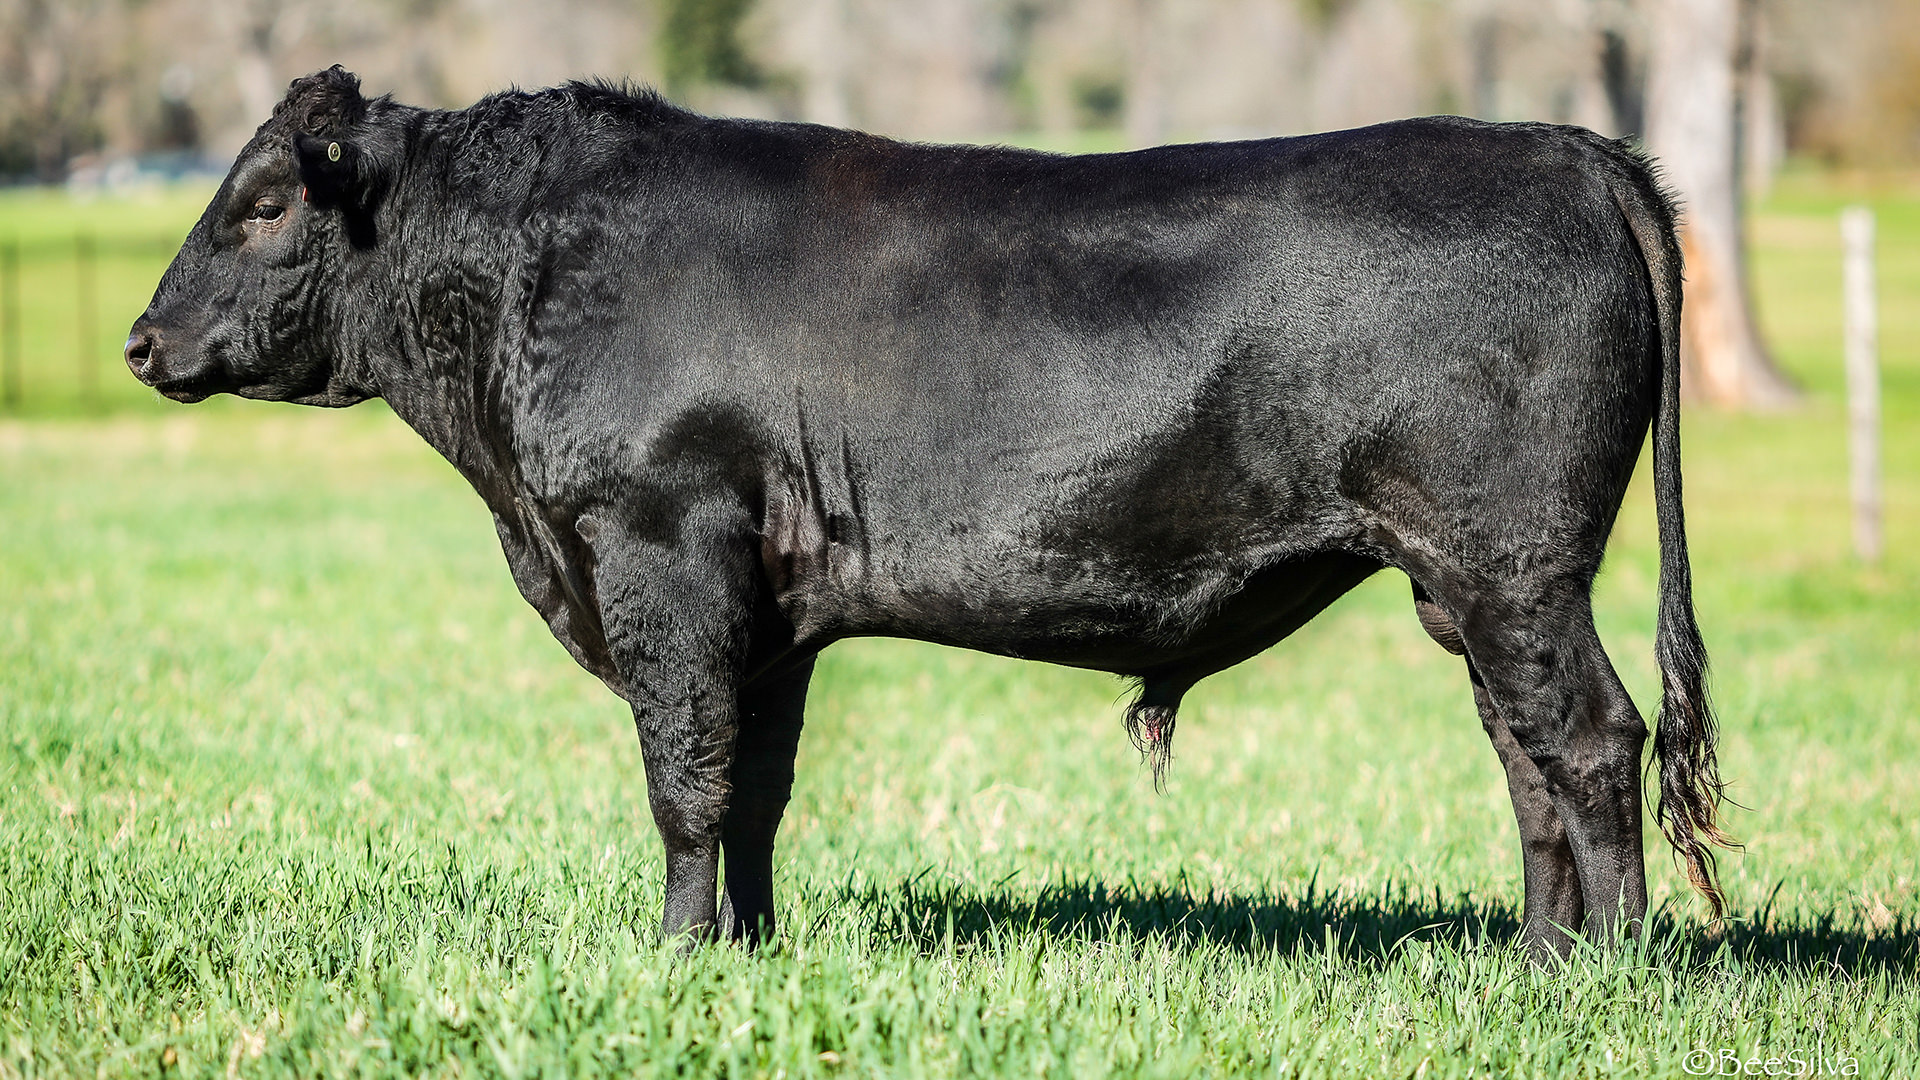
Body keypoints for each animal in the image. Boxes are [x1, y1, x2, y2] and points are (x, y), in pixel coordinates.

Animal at [127, 67, 1730, 960]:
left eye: (262, 205)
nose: (143, 343)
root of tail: (1558, 145)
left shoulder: (663, 552)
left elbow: (682, 779)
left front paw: (672, 957)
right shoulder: (765, 611)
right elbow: (750, 785)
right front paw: (746, 953)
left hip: (1510, 564)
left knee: (1593, 743)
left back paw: (1611, 973)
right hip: (1469, 584)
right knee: (1526, 757)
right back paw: (1529, 961)